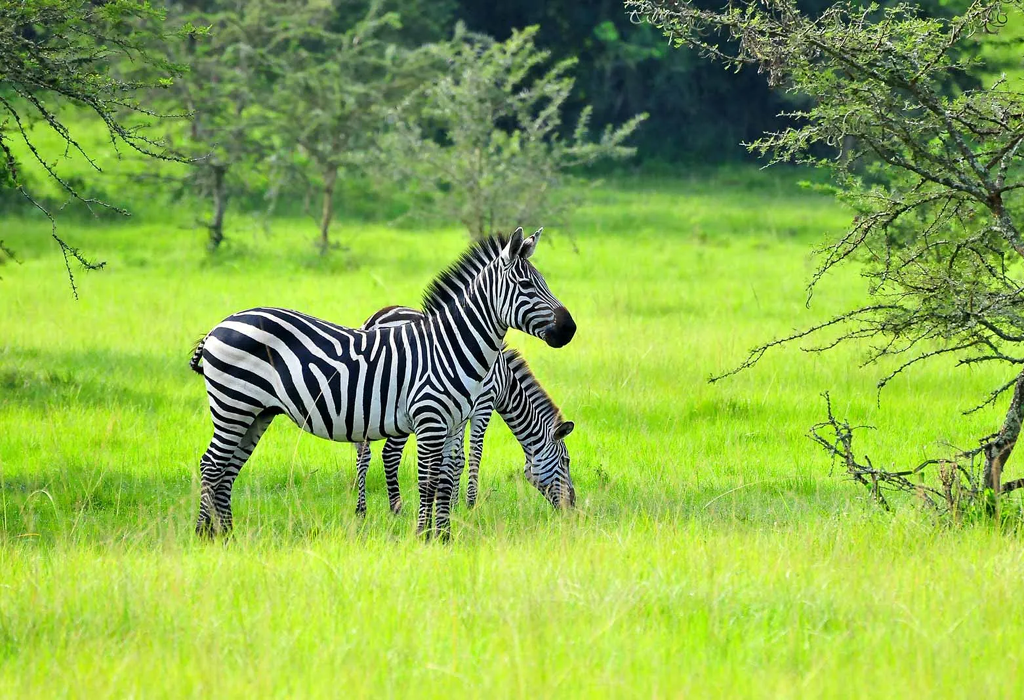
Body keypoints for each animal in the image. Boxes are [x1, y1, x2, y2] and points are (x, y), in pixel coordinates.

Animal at [353, 304, 575, 516]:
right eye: (566, 461)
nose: (572, 506)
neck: (504, 380)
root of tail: (376, 319)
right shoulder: (483, 404)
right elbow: (471, 456)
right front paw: (468, 505)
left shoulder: (457, 410)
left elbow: (455, 459)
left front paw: (451, 505)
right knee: (390, 454)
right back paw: (397, 509)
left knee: (364, 453)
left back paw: (361, 509)